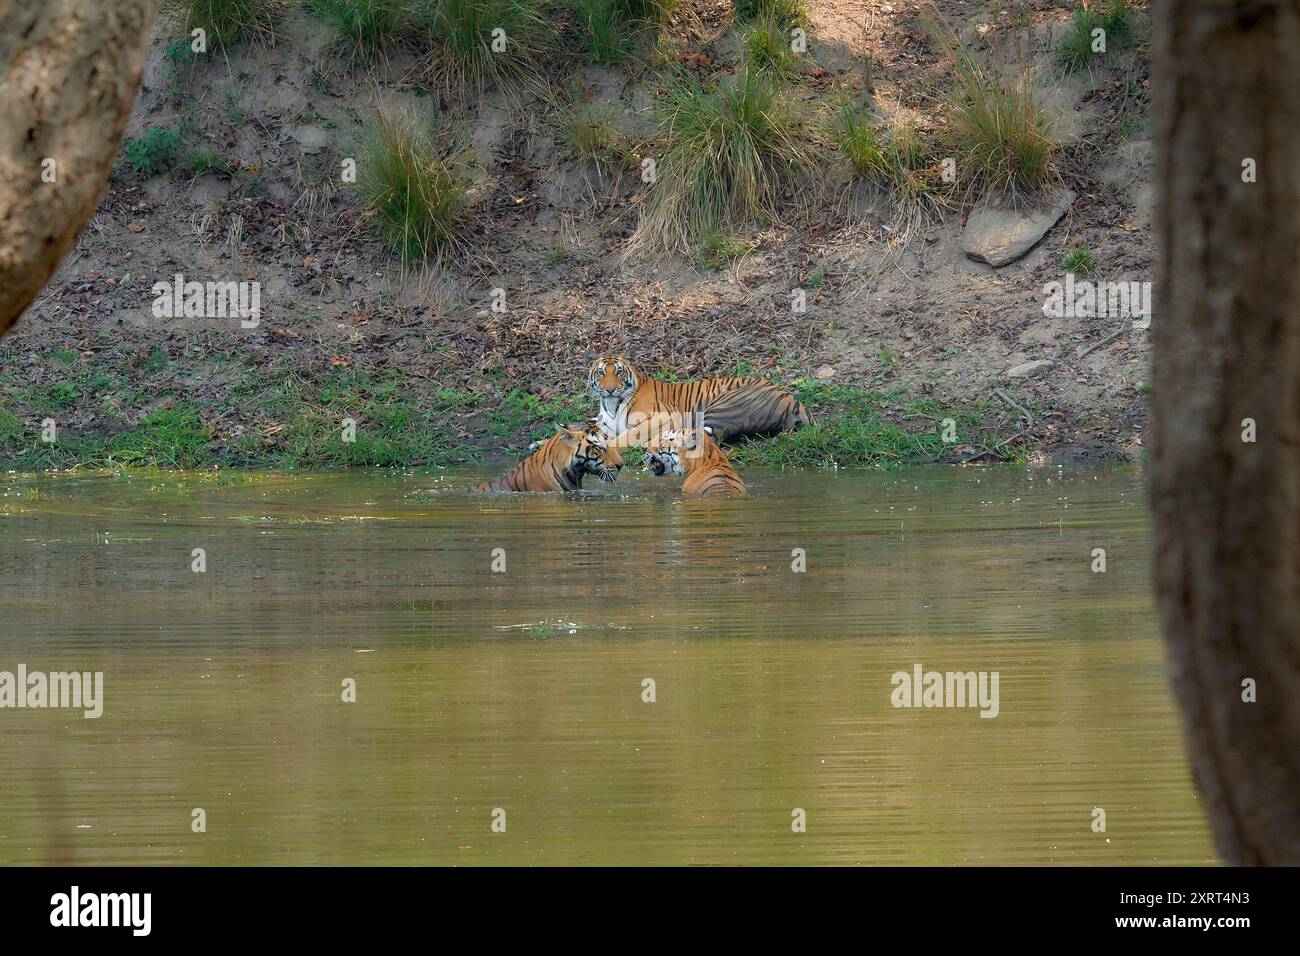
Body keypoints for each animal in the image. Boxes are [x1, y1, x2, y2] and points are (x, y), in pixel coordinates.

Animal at [587, 356, 759, 447]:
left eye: (619, 372)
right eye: (601, 372)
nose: (609, 389)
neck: (612, 405)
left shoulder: (663, 418)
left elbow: (629, 435)